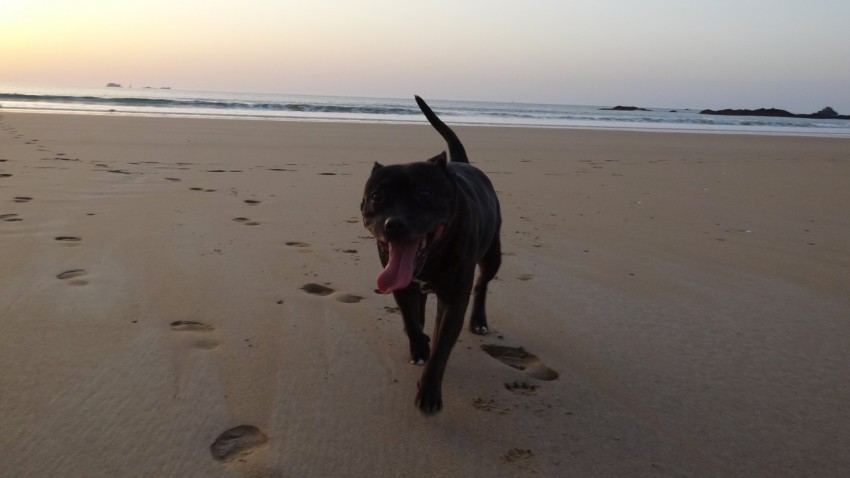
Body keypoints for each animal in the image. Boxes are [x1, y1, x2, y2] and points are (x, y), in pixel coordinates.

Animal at [360, 96, 504, 414]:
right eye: (377, 197)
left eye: (424, 193)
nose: (394, 224)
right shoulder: (400, 286)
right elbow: (410, 319)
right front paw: (419, 346)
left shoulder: (453, 300)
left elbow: (442, 347)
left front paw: (428, 392)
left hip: (492, 255)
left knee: (482, 283)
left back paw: (479, 320)